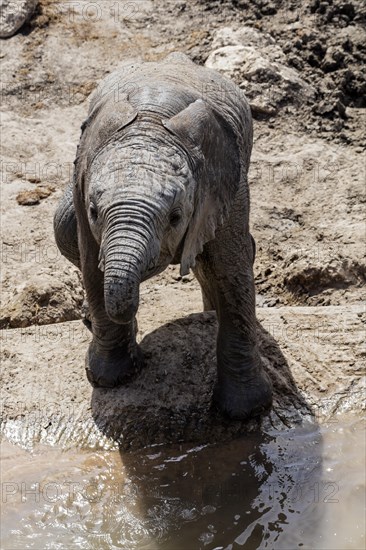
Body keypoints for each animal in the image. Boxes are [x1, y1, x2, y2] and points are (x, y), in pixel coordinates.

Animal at [53, 52, 272, 422]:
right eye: (96, 211)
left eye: (175, 217)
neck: (151, 122)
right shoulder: (81, 179)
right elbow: (92, 264)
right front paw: (110, 378)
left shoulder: (225, 186)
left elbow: (232, 274)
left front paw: (245, 412)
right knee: (62, 224)